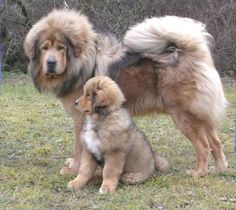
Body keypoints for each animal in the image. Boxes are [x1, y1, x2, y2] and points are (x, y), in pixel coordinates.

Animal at [23, 9, 227, 183]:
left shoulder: (81, 118)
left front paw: (73, 169)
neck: (80, 64)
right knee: (216, 143)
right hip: (201, 116)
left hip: (184, 116)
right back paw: (220, 169)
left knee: (203, 146)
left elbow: (78, 148)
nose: (50, 63)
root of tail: (192, 53)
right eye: (44, 48)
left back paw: (198, 173)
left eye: (61, 48)